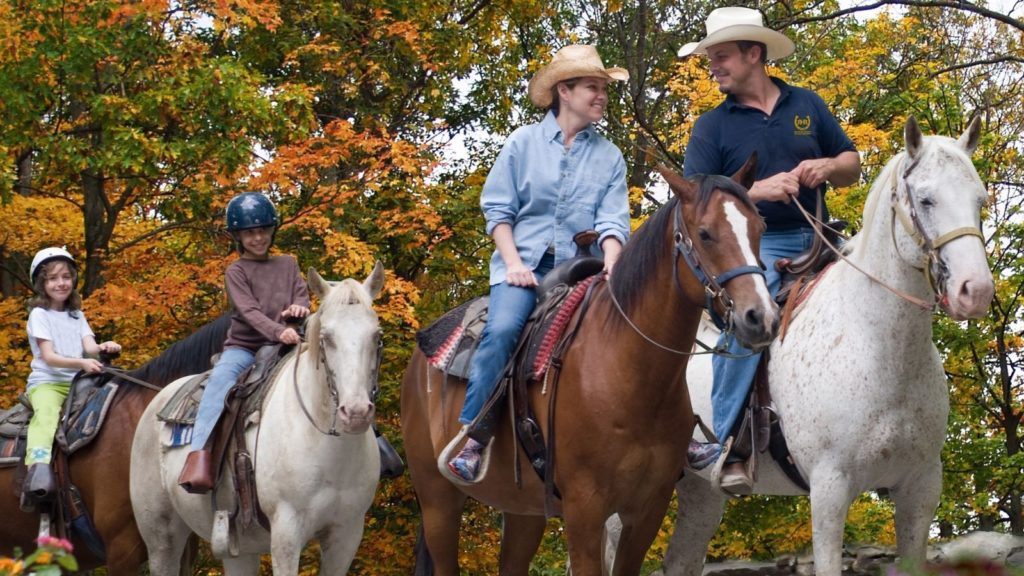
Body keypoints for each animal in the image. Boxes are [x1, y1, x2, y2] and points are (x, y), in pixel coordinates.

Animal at [128, 262, 385, 569]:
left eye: (377, 336)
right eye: (326, 338)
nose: (355, 412)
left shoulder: (346, 536)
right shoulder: (286, 532)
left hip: (238, 549)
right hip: (161, 538)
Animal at [403, 157, 778, 573]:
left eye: (759, 227)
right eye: (705, 233)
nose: (760, 317)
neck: (629, 373)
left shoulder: (646, 511)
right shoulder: (585, 509)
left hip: (523, 511)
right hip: (438, 501)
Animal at [651, 117, 995, 573]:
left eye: (980, 199)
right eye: (925, 200)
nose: (975, 291)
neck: (880, 348)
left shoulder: (920, 487)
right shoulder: (830, 487)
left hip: (700, 493)